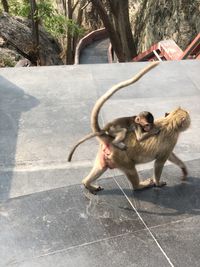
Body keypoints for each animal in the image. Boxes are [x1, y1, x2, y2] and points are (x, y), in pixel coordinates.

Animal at [71, 62, 191, 194]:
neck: (170, 121)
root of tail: (109, 138)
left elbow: (170, 156)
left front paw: (183, 169)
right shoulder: (171, 138)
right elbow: (159, 163)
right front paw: (158, 183)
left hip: (107, 156)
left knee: (101, 167)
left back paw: (87, 183)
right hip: (120, 157)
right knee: (131, 169)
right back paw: (139, 186)